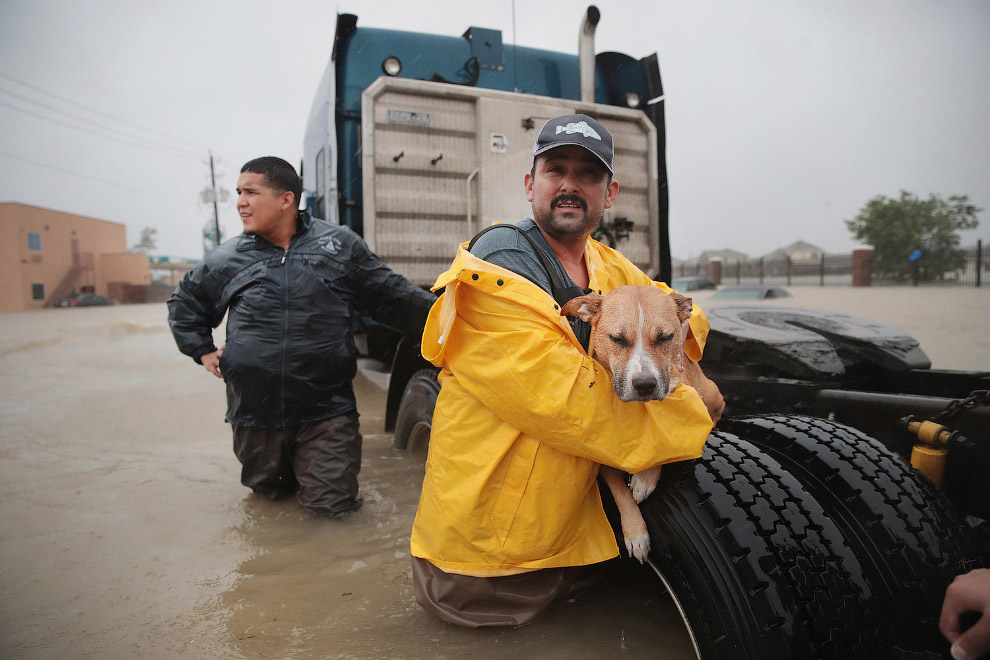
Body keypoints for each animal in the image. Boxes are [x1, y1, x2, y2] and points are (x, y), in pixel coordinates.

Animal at [560, 284, 724, 564]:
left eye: (665, 337)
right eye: (617, 339)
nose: (645, 385)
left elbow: (667, 441)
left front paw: (645, 479)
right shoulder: (602, 460)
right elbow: (619, 491)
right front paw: (635, 533)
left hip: (711, 392)